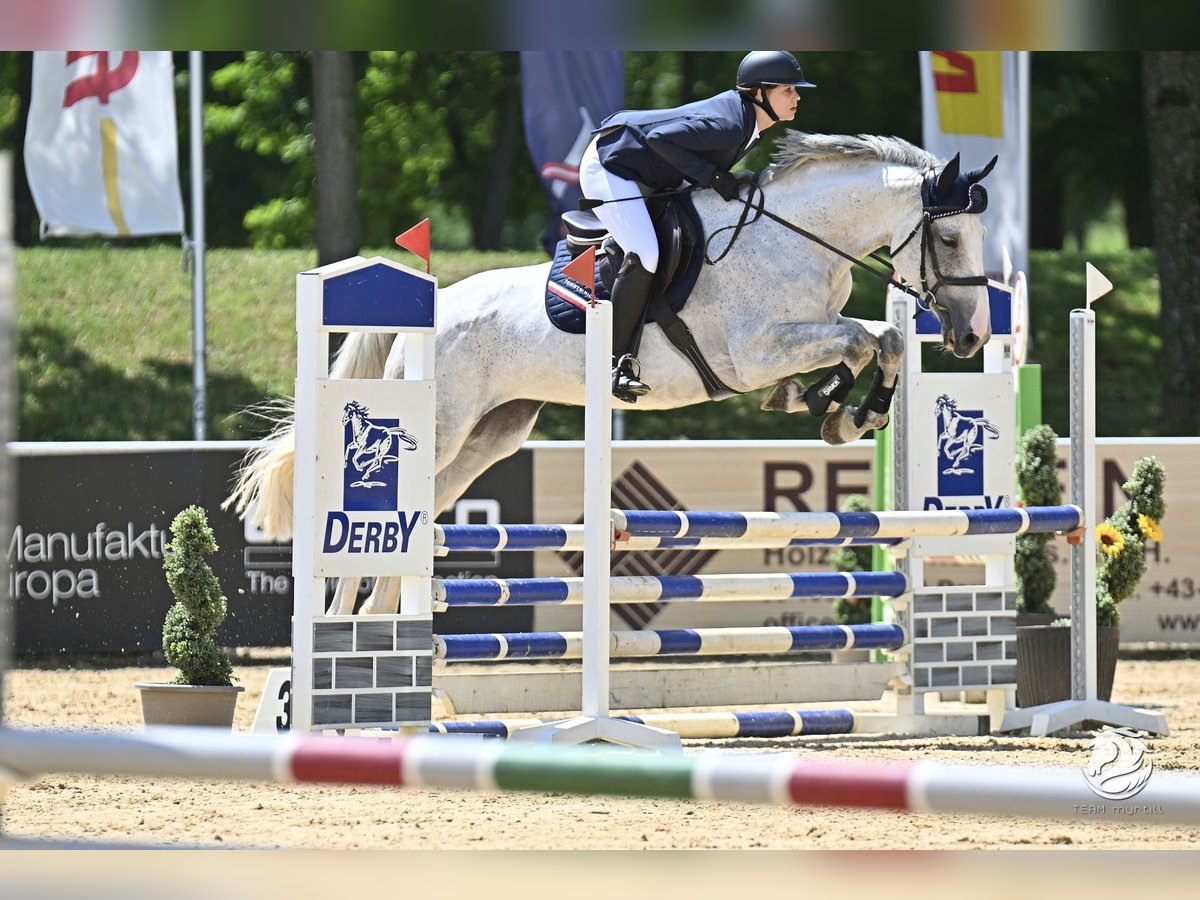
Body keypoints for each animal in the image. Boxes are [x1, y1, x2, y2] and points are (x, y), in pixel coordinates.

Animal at [229, 130, 998, 619]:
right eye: (949, 237)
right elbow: (869, 340)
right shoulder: (754, 351)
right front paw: (842, 410)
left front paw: (838, 409)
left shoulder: (802, 335)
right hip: (445, 426)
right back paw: (342, 632)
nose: (971, 336)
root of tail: (436, 304)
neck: (797, 237)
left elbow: (879, 339)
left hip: (492, 436)